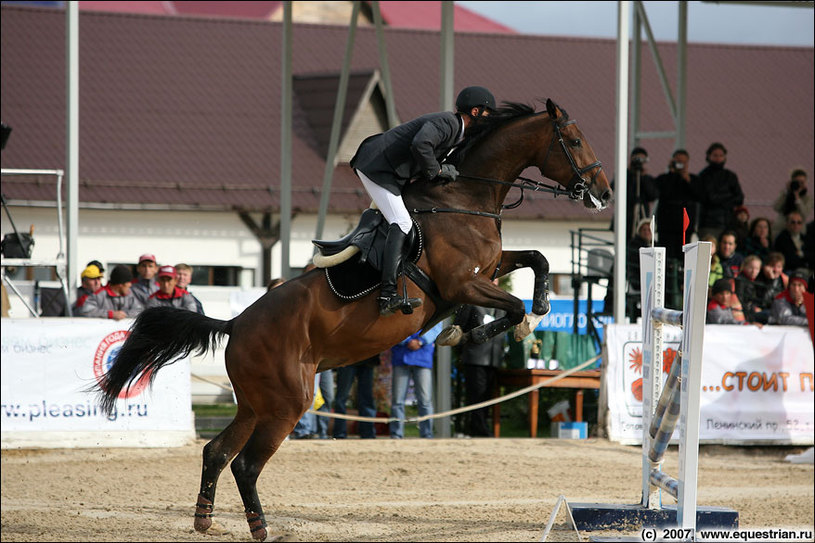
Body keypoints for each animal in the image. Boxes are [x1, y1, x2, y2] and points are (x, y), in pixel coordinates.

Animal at [91, 99, 612, 543]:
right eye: (574, 139)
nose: (603, 193)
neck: (466, 195)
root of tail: (236, 324)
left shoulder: (487, 269)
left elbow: (539, 260)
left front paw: (505, 315)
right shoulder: (461, 283)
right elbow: (513, 307)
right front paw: (484, 329)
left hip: (256, 403)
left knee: (217, 452)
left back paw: (204, 520)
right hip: (288, 403)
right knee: (247, 465)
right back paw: (262, 529)